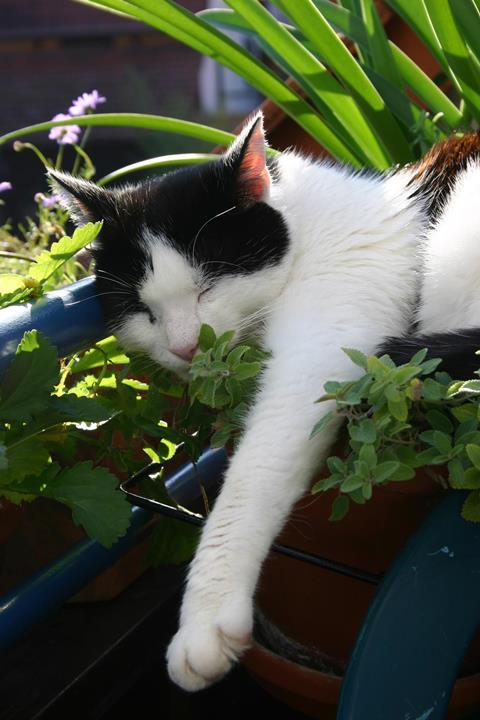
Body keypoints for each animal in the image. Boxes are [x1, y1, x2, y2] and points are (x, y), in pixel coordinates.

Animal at [51, 114, 480, 692]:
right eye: (141, 310)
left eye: (208, 285)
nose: (185, 348)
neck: (306, 226)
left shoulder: (325, 341)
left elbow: (253, 474)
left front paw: (205, 621)